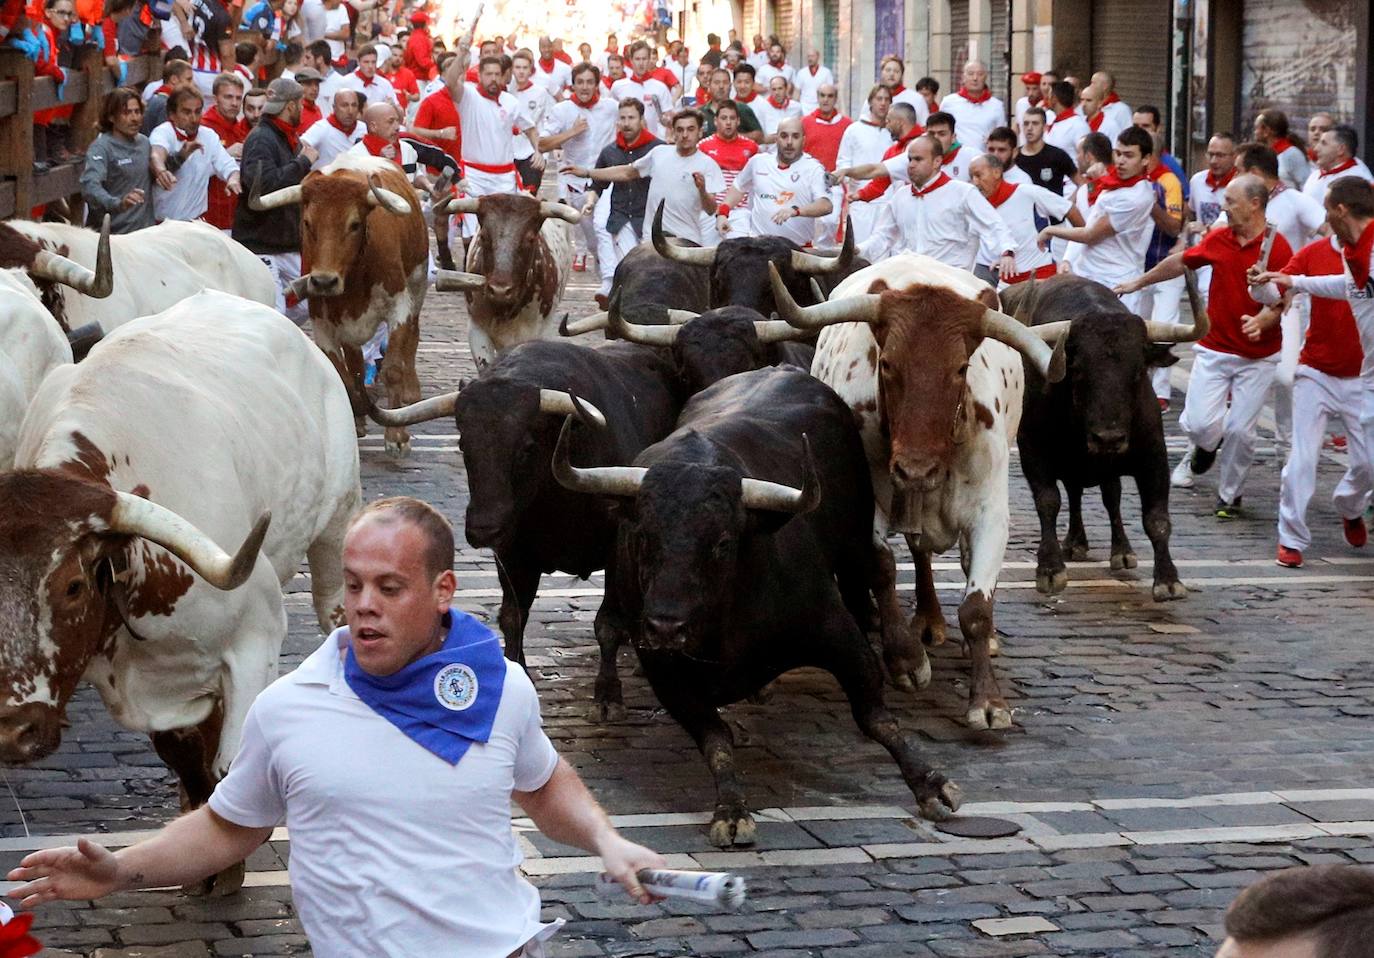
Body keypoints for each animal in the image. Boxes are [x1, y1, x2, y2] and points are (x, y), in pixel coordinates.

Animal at [552, 365, 961, 846]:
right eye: (643, 536)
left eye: (722, 543)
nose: (666, 627)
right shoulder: (666, 671)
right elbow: (716, 738)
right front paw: (731, 808)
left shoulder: (836, 633)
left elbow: (877, 717)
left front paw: (931, 783)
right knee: (607, 626)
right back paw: (608, 696)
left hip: (856, 545)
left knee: (876, 574)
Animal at [1005, 270, 1209, 599]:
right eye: (1077, 369)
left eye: (1138, 371)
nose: (1109, 438)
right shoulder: (1033, 453)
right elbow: (1048, 502)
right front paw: (1050, 569)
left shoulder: (1154, 457)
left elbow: (1156, 518)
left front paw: (1168, 579)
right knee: (1075, 494)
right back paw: (1076, 543)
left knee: (1109, 496)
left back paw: (1120, 550)